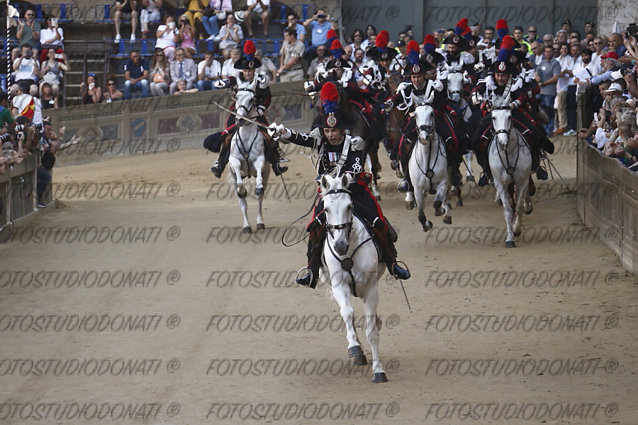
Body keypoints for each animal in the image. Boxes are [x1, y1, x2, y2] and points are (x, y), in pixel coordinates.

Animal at [229, 79, 272, 232]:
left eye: (252, 99)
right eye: (237, 97)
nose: (240, 120)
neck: (246, 137)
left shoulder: (260, 160)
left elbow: (258, 169)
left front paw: (258, 187)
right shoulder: (233, 161)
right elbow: (240, 184)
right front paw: (242, 190)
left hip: (267, 173)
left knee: (260, 199)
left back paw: (260, 223)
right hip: (234, 176)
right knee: (242, 202)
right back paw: (246, 226)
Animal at [320, 174, 390, 382]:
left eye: (349, 206)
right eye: (326, 208)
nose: (339, 246)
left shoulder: (370, 288)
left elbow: (372, 331)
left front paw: (378, 371)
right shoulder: (338, 284)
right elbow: (347, 312)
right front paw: (354, 348)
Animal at [410, 93, 456, 232]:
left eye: (431, 114)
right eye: (416, 115)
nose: (424, 138)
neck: (427, 158)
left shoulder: (443, 181)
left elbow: (437, 202)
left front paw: (440, 211)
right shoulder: (417, 189)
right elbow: (420, 214)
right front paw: (427, 225)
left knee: (445, 196)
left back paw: (446, 213)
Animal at [490, 95, 536, 245]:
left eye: (509, 116)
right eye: (493, 117)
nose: (503, 142)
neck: (508, 153)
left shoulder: (521, 181)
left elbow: (519, 207)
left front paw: (517, 229)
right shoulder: (500, 184)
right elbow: (508, 210)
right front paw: (510, 238)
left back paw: (528, 205)